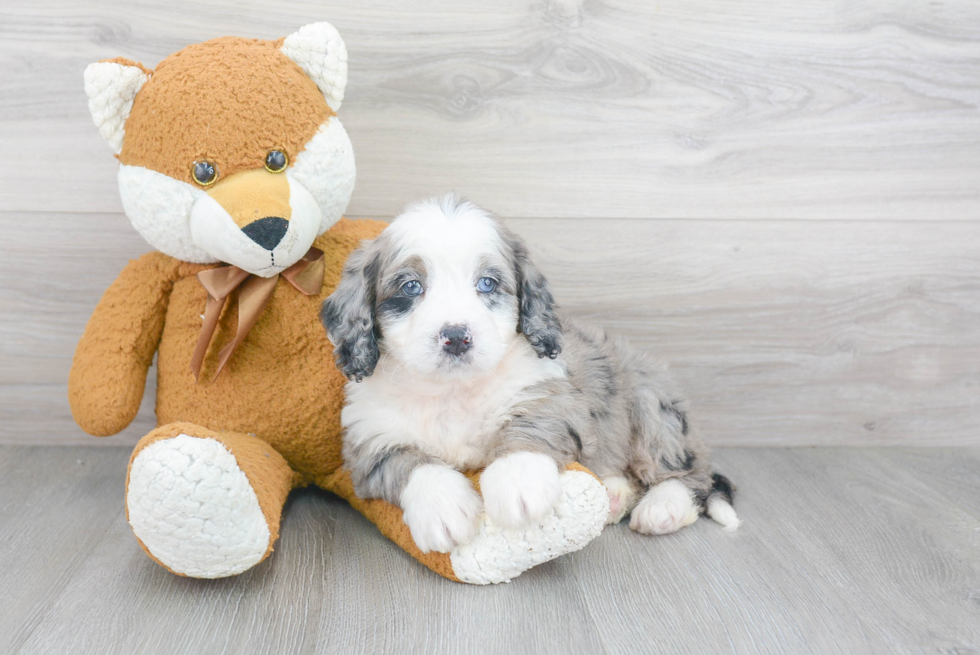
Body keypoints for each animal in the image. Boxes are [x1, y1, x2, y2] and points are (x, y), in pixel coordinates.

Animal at [322, 196, 744, 552]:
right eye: (411, 286)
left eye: (487, 283)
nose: (456, 336)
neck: (453, 392)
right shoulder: (367, 440)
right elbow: (406, 462)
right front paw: (442, 506)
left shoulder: (551, 392)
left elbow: (531, 426)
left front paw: (517, 482)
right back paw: (613, 495)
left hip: (652, 406)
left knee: (689, 474)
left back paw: (663, 507)